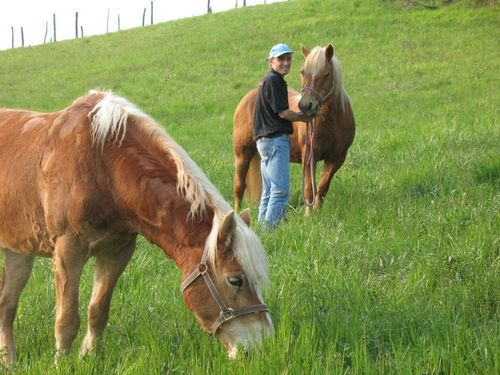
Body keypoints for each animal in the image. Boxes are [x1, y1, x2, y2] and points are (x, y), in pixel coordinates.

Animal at [0, 91, 272, 368]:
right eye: (235, 280)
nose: (260, 345)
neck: (102, 162)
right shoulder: (68, 250)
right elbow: (66, 319)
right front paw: (62, 365)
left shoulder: (117, 251)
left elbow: (98, 311)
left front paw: (89, 357)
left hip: (18, 252)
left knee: (7, 304)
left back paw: (9, 360)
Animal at [234, 44, 356, 214]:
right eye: (303, 72)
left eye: (326, 74)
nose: (306, 106)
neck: (332, 122)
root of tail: (249, 97)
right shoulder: (309, 156)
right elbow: (309, 189)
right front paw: (309, 215)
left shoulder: (336, 159)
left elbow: (322, 187)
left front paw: (317, 211)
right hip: (242, 153)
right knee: (239, 186)